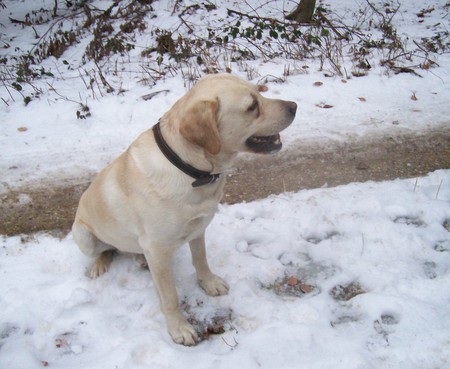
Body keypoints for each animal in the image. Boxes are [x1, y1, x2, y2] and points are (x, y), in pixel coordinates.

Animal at [72, 73, 298, 344]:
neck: (190, 169)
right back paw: (100, 263)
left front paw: (209, 283)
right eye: (252, 106)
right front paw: (178, 328)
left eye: (259, 92)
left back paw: (138, 257)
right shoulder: (157, 250)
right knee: (107, 249)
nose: (295, 106)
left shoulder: (198, 227)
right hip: (84, 237)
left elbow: (200, 259)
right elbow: (169, 296)